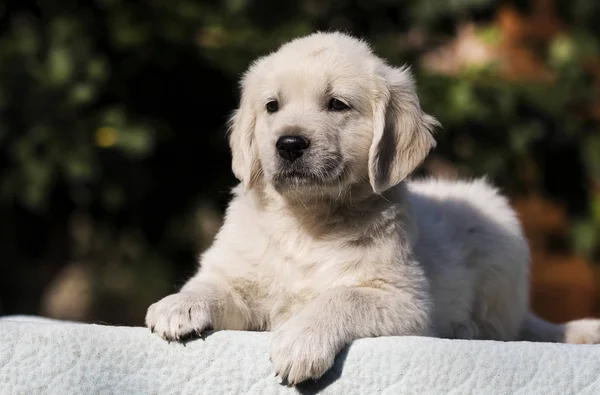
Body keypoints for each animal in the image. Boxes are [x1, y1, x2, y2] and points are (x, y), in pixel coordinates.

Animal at [146, 31, 600, 386]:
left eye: (337, 104)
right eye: (272, 106)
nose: (289, 144)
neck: (308, 219)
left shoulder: (406, 302)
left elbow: (342, 297)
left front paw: (299, 341)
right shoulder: (241, 276)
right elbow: (213, 284)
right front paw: (178, 304)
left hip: (500, 240)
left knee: (510, 327)